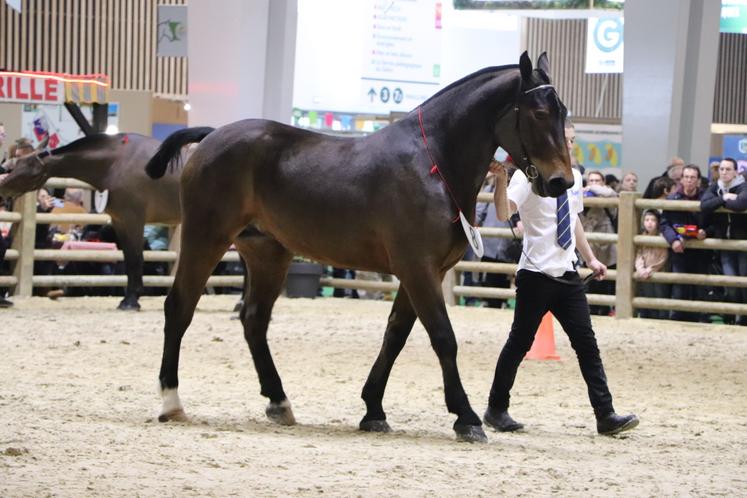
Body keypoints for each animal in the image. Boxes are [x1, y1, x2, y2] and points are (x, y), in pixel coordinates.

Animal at [0, 128, 215, 308]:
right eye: (17, 163)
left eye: (31, 171)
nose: (3, 188)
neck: (116, 163)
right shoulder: (120, 222)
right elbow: (128, 259)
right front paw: (129, 297)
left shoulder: (133, 220)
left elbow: (136, 259)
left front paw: (131, 301)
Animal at [148, 52, 572, 442]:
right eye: (538, 112)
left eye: (563, 111)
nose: (561, 182)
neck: (433, 162)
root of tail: (212, 136)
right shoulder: (418, 269)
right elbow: (442, 337)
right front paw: (465, 417)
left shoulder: (424, 272)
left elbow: (396, 335)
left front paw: (373, 409)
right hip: (205, 239)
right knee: (179, 308)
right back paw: (171, 401)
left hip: (267, 254)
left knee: (254, 320)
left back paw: (279, 402)